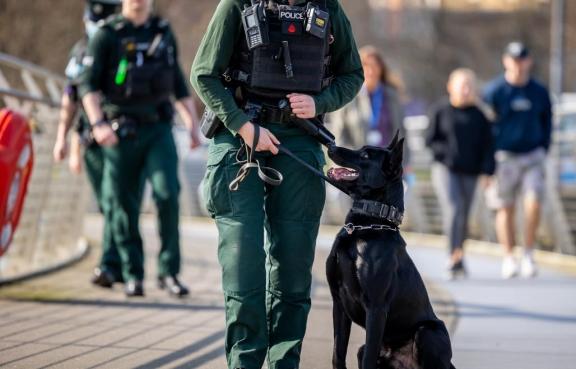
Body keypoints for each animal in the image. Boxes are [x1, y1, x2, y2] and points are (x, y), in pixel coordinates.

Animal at [324, 134, 454, 368]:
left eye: (366, 155)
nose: (330, 145)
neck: (365, 226)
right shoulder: (338, 302)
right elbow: (337, 354)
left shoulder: (376, 307)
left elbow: (368, 359)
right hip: (363, 348)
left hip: (427, 331)